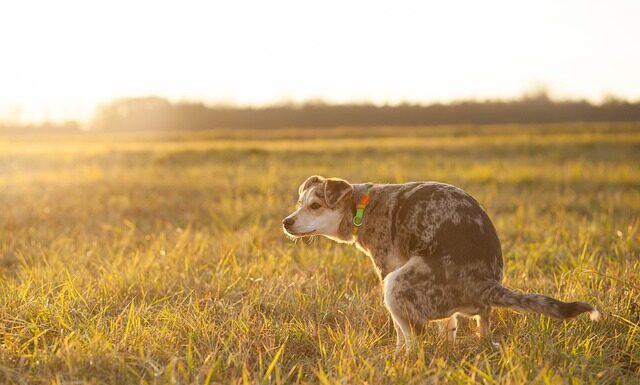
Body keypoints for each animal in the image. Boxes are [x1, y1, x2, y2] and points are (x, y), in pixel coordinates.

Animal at [280, 176, 600, 350]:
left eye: (315, 206)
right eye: (299, 204)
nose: (286, 222)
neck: (362, 205)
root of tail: (486, 284)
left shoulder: (387, 269)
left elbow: (400, 332)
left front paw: (397, 355)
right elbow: (450, 325)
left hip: (396, 284)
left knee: (416, 339)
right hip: (470, 308)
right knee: (481, 325)